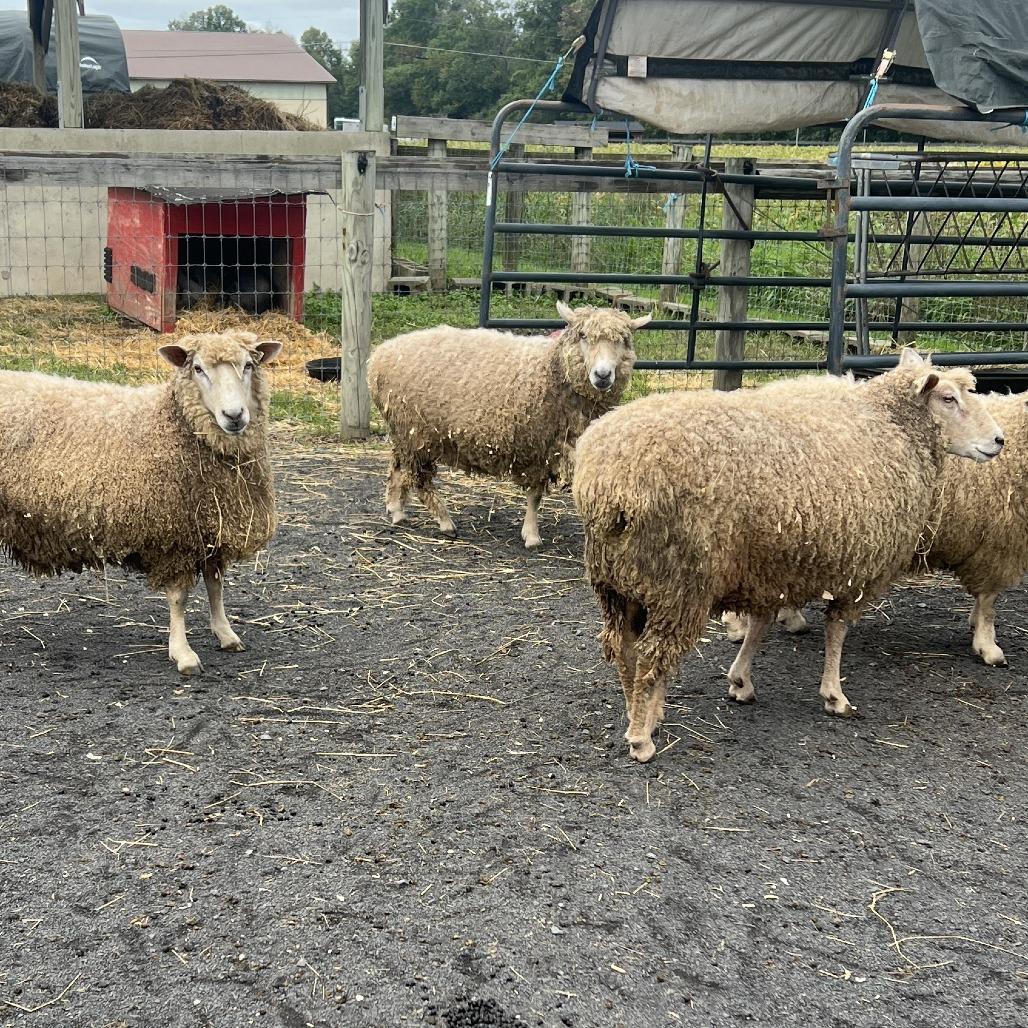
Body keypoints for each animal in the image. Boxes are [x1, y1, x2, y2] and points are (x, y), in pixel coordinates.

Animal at [0, 330, 282, 676]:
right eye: (198, 369)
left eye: (248, 365)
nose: (234, 416)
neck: (172, 423)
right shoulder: (174, 536)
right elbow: (179, 597)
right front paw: (183, 653)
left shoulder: (210, 527)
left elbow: (215, 586)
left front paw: (226, 634)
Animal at [367, 302, 650, 548]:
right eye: (582, 335)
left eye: (624, 340)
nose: (602, 375)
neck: (551, 371)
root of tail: (378, 356)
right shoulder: (538, 444)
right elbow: (535, 494)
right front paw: (532, 536)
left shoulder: (548, 445)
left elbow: (536, 495)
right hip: (417, 433)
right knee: (420, 480)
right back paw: (445, 522)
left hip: (404, 431)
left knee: (397, 466)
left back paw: (397, 510)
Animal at [726, 389, 1028, 667]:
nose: (999, 441)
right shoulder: (997, 544)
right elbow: (988, 601)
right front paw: (988, 645)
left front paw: (975, 626)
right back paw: (738, 626)